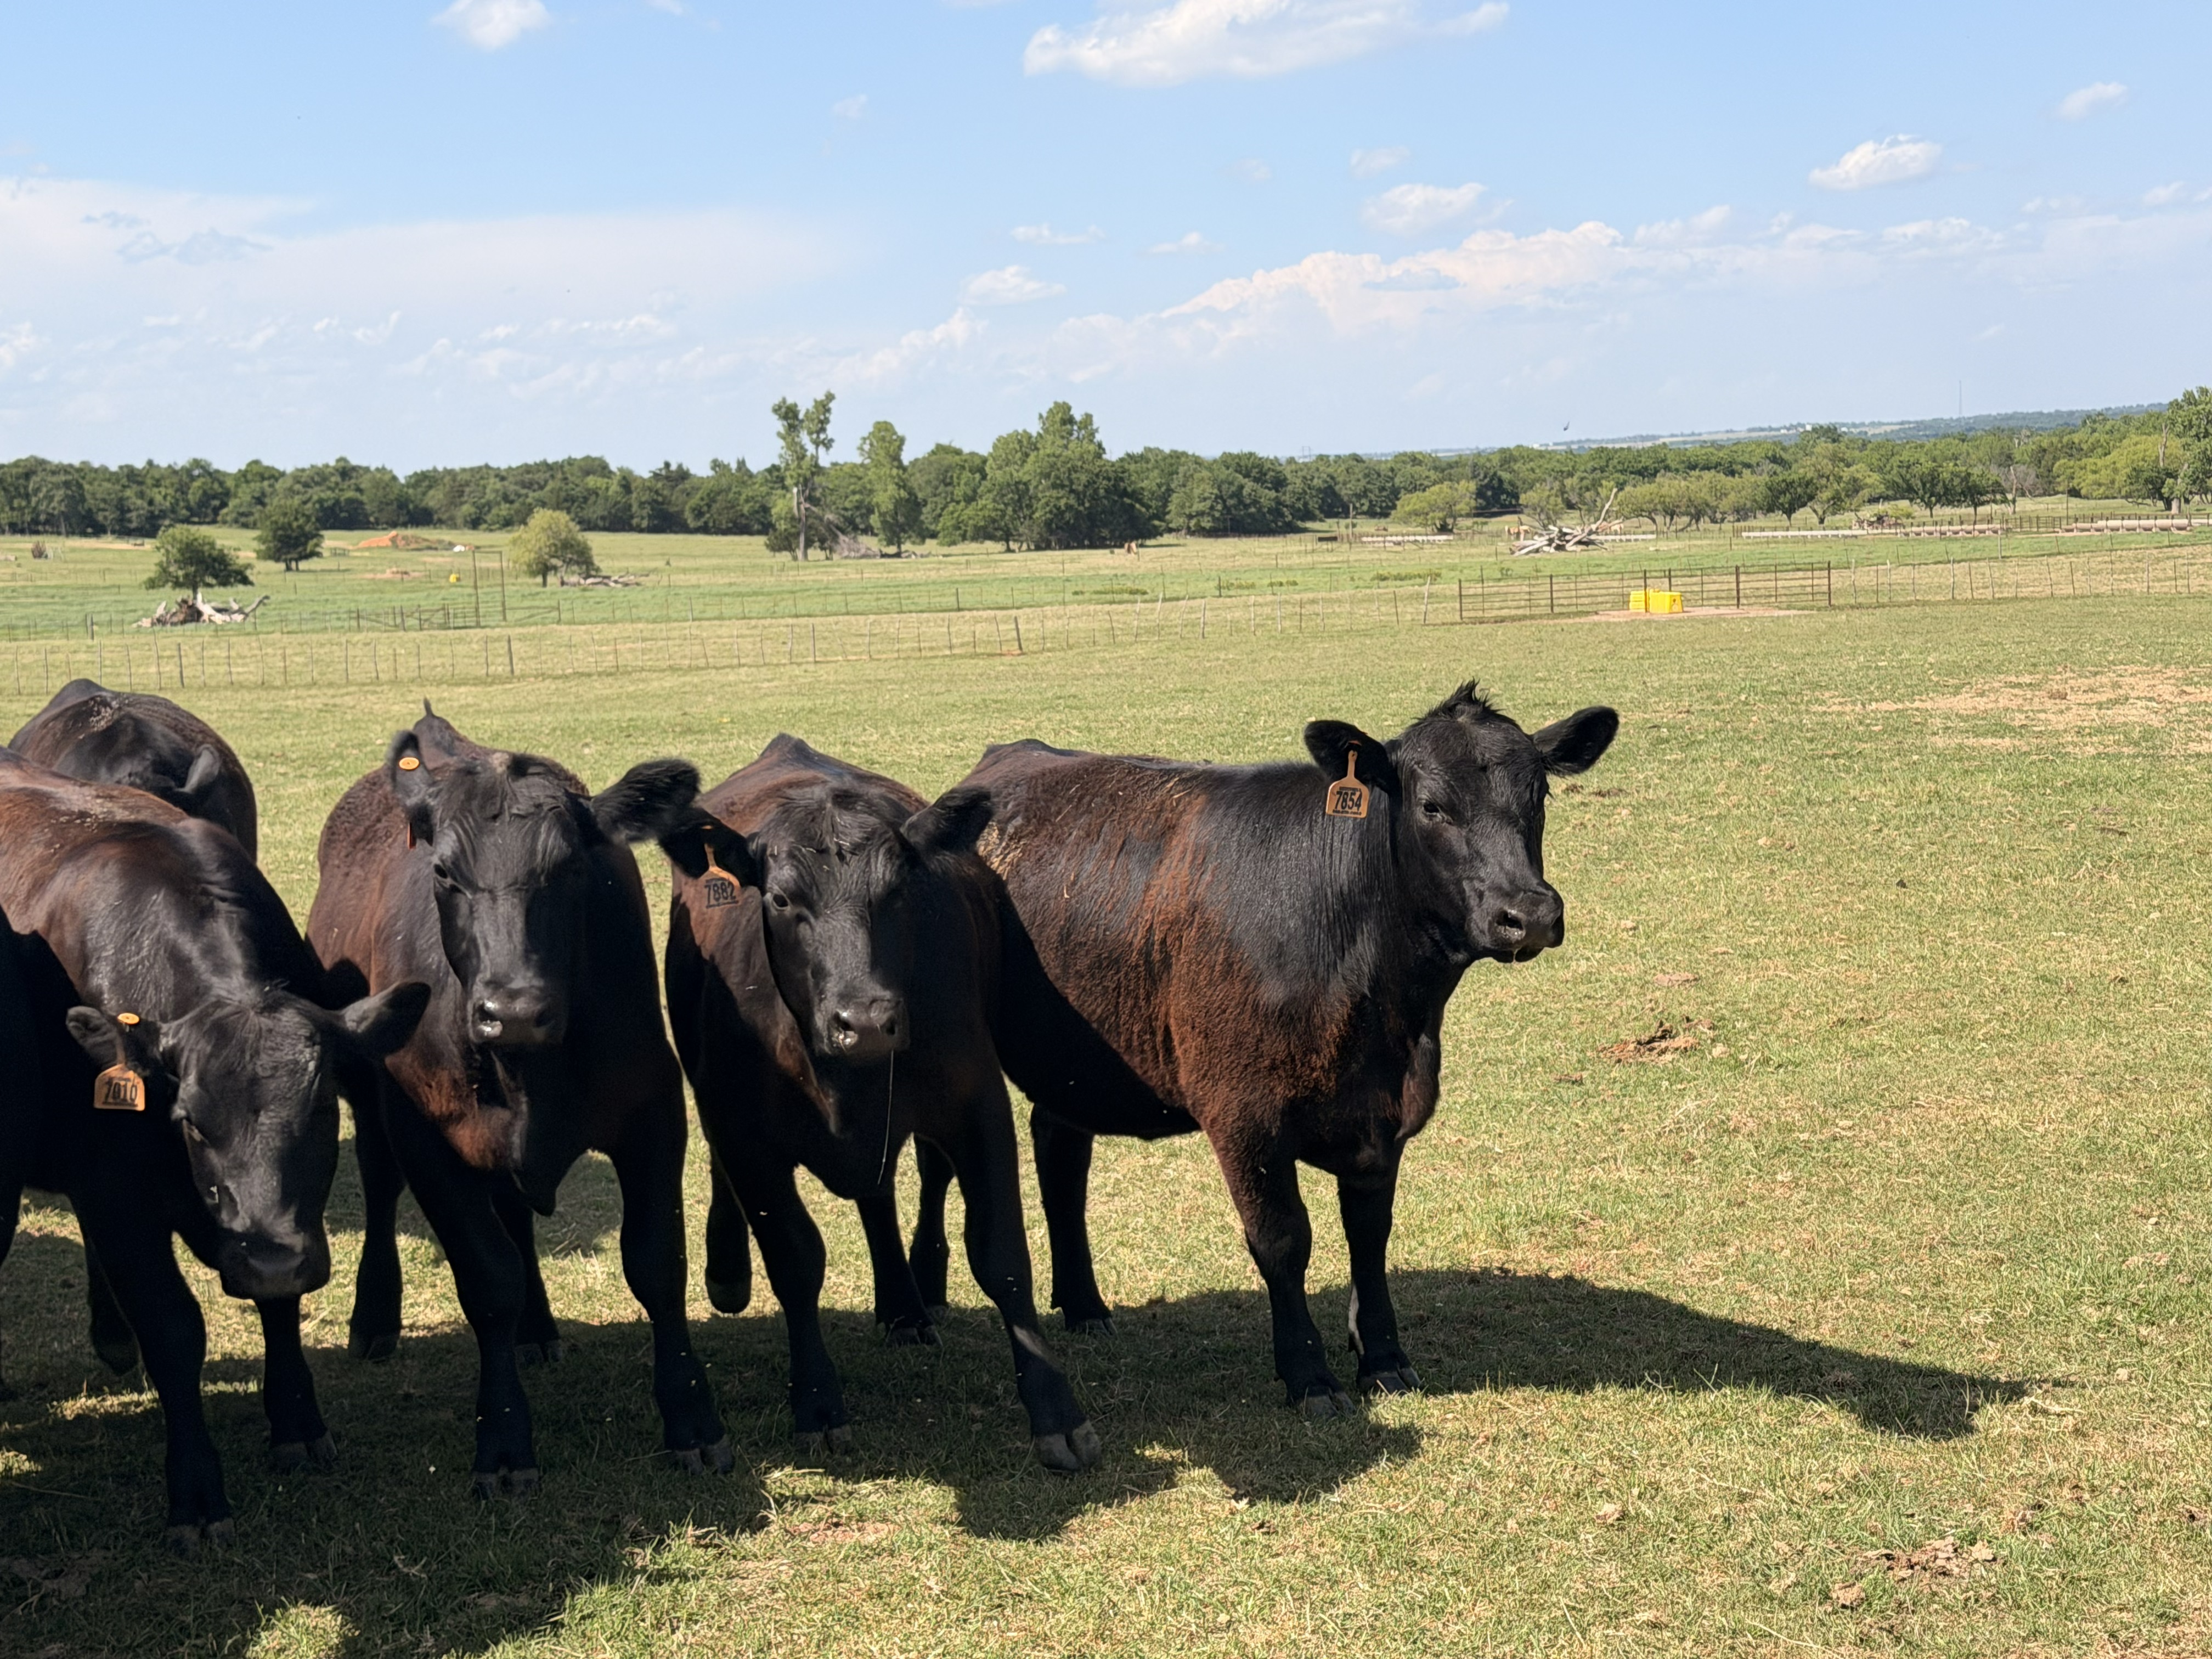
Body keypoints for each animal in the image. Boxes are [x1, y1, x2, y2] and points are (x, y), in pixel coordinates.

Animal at [0, 749, 427, 1547]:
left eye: (323, 1106)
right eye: (191, 1121)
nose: (273, 1260)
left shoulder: (276, 1225)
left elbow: (280, 1309)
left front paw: (296, 1420)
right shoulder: (115, 1193)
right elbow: (173, 1329)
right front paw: (196, 1488)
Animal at [307, 708, 730, 1497]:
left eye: (568, 870)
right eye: (444, 872)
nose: (515, 1011)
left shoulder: (654, 1113)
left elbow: (656, 1264)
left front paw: (693, 1419)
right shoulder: (429, 1141)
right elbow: (487, 1281)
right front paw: (503, 1441)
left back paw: (537, 1329)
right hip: (368, 1094)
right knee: (380, 1189)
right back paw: (375, 1316)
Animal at [660, 736, 1099, 1472]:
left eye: (897, 893)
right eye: (781, 899)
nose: (863, 1021)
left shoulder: (976, 1104)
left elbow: (1002, 1255)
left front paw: (1055, 1411)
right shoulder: (745, 1135)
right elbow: (794, 1260)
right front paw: (817, 1402)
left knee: (880, 1198)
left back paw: (903, 1307)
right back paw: (727, 1270)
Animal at [911, 684, 1617, 1417]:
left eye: (1540, 796)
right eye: (1432, 805)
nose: (1529, 915)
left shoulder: (1382, 1117)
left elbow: (1370, 1235)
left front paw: (1384, 1358)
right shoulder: (1244, 1116)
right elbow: (1283, 1240)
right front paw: (1309, 1375)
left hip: (1073, 1058)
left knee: (1061, 1154)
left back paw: (1084, 1305)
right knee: (938, 1165)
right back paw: (924, 1302)